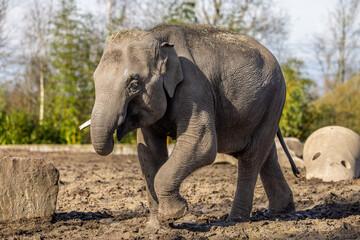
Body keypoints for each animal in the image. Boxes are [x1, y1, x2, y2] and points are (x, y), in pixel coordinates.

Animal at [87, 24, 298, 229]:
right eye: (94, 79)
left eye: (133, 84)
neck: (158, 37)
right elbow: (148, 152)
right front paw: (156, 227)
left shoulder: (194, 87)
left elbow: (202, 144)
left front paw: (173, 214)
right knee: (267, 155)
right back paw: (282, 211)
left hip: (274, 100)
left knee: (251, 157)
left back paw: (235, 220)